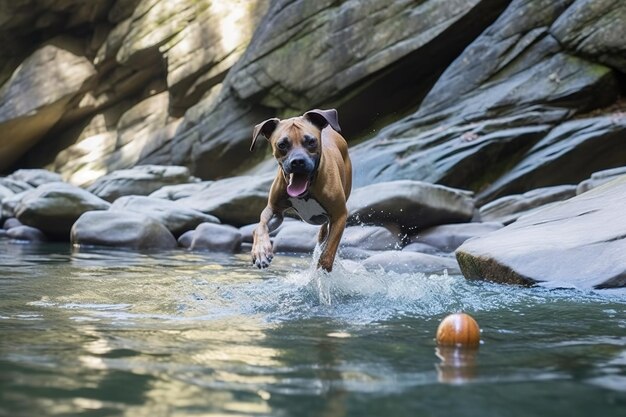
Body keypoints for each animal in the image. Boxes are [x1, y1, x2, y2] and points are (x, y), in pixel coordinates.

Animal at [250, 108, 352, 270]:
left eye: (311, 141)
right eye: (282, 145)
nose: (297, 162)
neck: (307, 192)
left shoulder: (340, 215)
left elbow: (327, 255)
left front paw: (321, 271)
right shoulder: (274, 211)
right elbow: (260, 227)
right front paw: (261, 252)